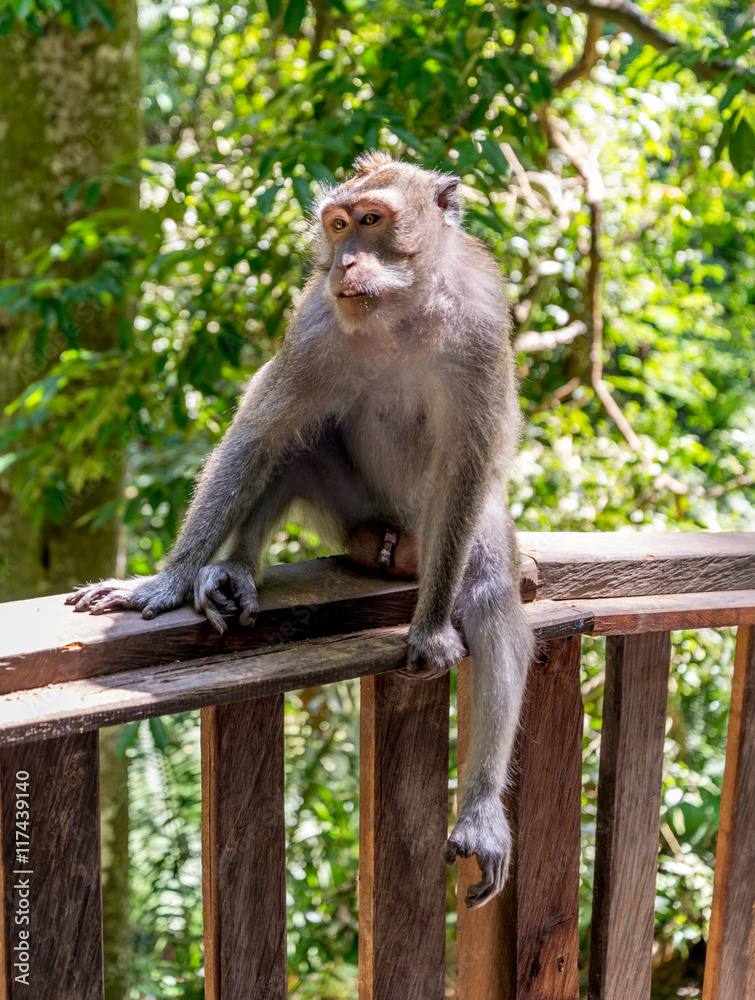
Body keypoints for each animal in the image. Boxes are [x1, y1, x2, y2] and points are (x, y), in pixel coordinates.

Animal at [67, 151, 535, 907]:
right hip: (349, 511)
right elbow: (261, 433)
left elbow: (466, 468)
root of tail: (391, 539)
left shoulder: (484, 327)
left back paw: (481, 810)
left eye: (372, 220)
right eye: (338, 225)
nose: (343, 263)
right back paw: (232, 572)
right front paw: (166, 579)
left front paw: (431, 628)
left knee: (488, 583)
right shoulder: (317, 322)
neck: (402, 314)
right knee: (297, 437)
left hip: (435, 532)